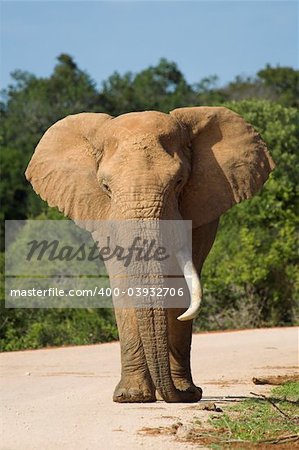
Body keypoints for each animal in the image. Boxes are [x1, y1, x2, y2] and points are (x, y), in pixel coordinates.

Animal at [26, 106, 276, 404]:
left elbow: (181, 283)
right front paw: (131, 397)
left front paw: (185, 393)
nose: (183, 394)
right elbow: (122, 283)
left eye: (179, 182)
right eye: (106, 187)